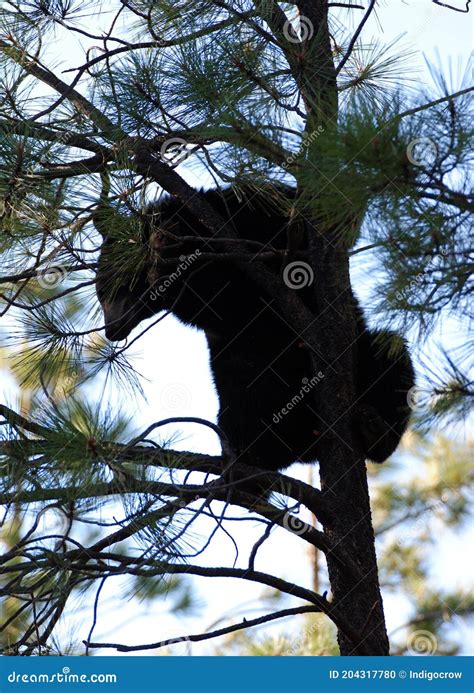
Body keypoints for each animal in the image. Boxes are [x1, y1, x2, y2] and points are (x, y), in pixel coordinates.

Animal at [95, 187, 414, 474]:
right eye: (101, 295)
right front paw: (164, 256)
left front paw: (164, 246)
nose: (112, 330)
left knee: (391, 353)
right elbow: (223, 302)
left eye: (115, 288)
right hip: (239, 385)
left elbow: (332, 219)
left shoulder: (253, 207)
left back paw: (376, 432)